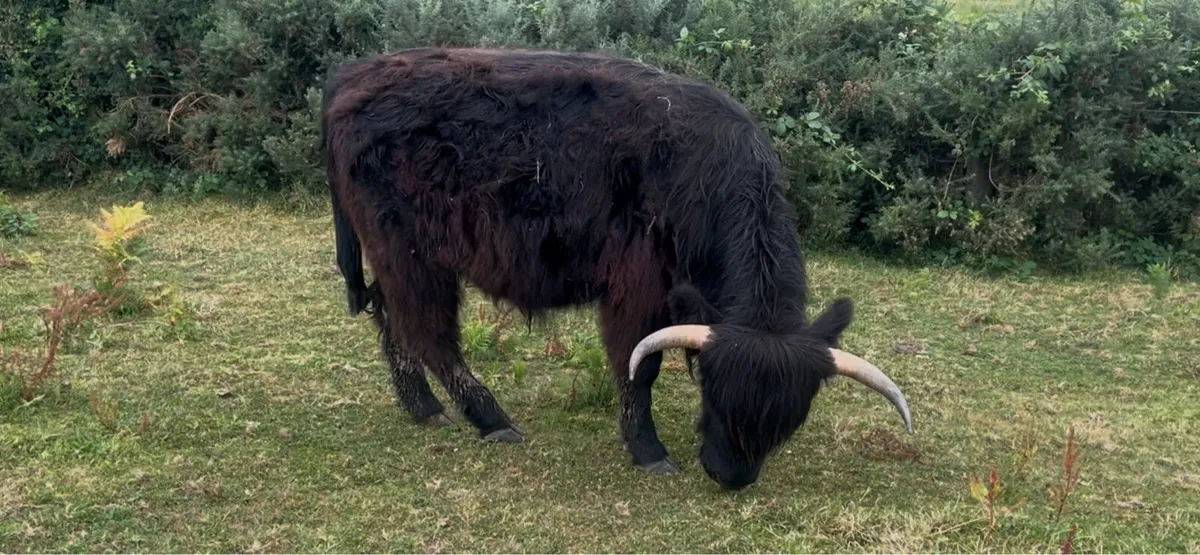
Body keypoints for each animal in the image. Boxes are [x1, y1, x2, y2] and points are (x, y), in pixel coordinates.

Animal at [321, 47, 913, 490]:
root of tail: (355, 74)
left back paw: (422, 407)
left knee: (392, 320)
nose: (730, 476)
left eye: (790, 417)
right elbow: (639, 365)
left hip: (397, 258)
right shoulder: (639, 285)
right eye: (714, 393)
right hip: (413, 255)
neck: (708, 177)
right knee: (430, 334)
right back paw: (491, 419)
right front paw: (648, 450)